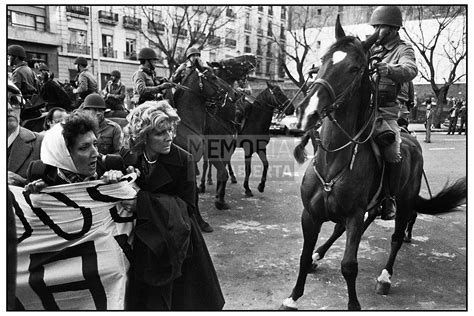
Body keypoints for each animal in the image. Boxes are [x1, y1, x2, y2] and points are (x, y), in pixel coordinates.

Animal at [282, 16, 466, 310]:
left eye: (355, 68)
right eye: (322, 61)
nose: (308, 111)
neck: (333, 160)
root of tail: (409, 136)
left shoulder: (354, 214)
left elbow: (349, 265)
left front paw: (354, 304)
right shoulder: (310, 215)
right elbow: (303, 255)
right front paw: (293, 295)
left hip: (404, 200)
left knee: (396, 237)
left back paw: (385, 277)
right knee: (347, 227)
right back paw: (320, 255)